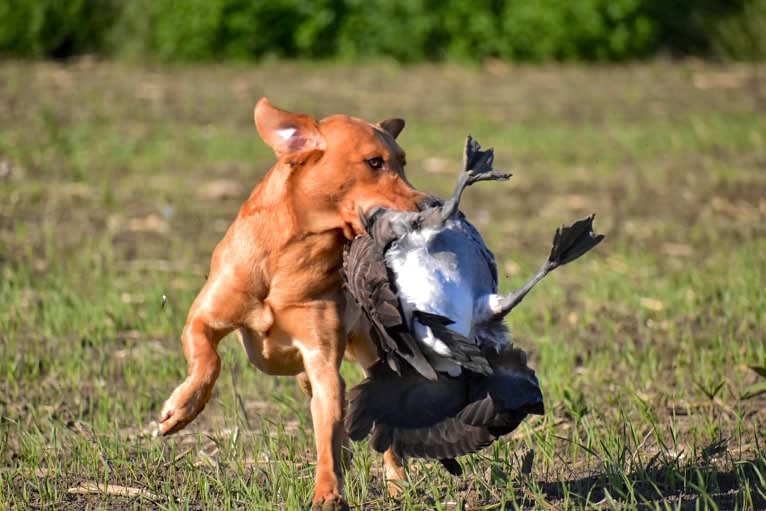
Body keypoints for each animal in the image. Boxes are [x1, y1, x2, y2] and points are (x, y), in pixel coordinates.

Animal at [159, 98, 428, 510]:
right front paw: (181, 411)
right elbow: (208, 360)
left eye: (403, 161)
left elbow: (329, 426)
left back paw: (397, 481)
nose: (432, 204)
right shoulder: (204, 318)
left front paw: (328, 492)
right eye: (374, 162)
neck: (291, 257)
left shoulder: (321, 358)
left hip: (374, 352)